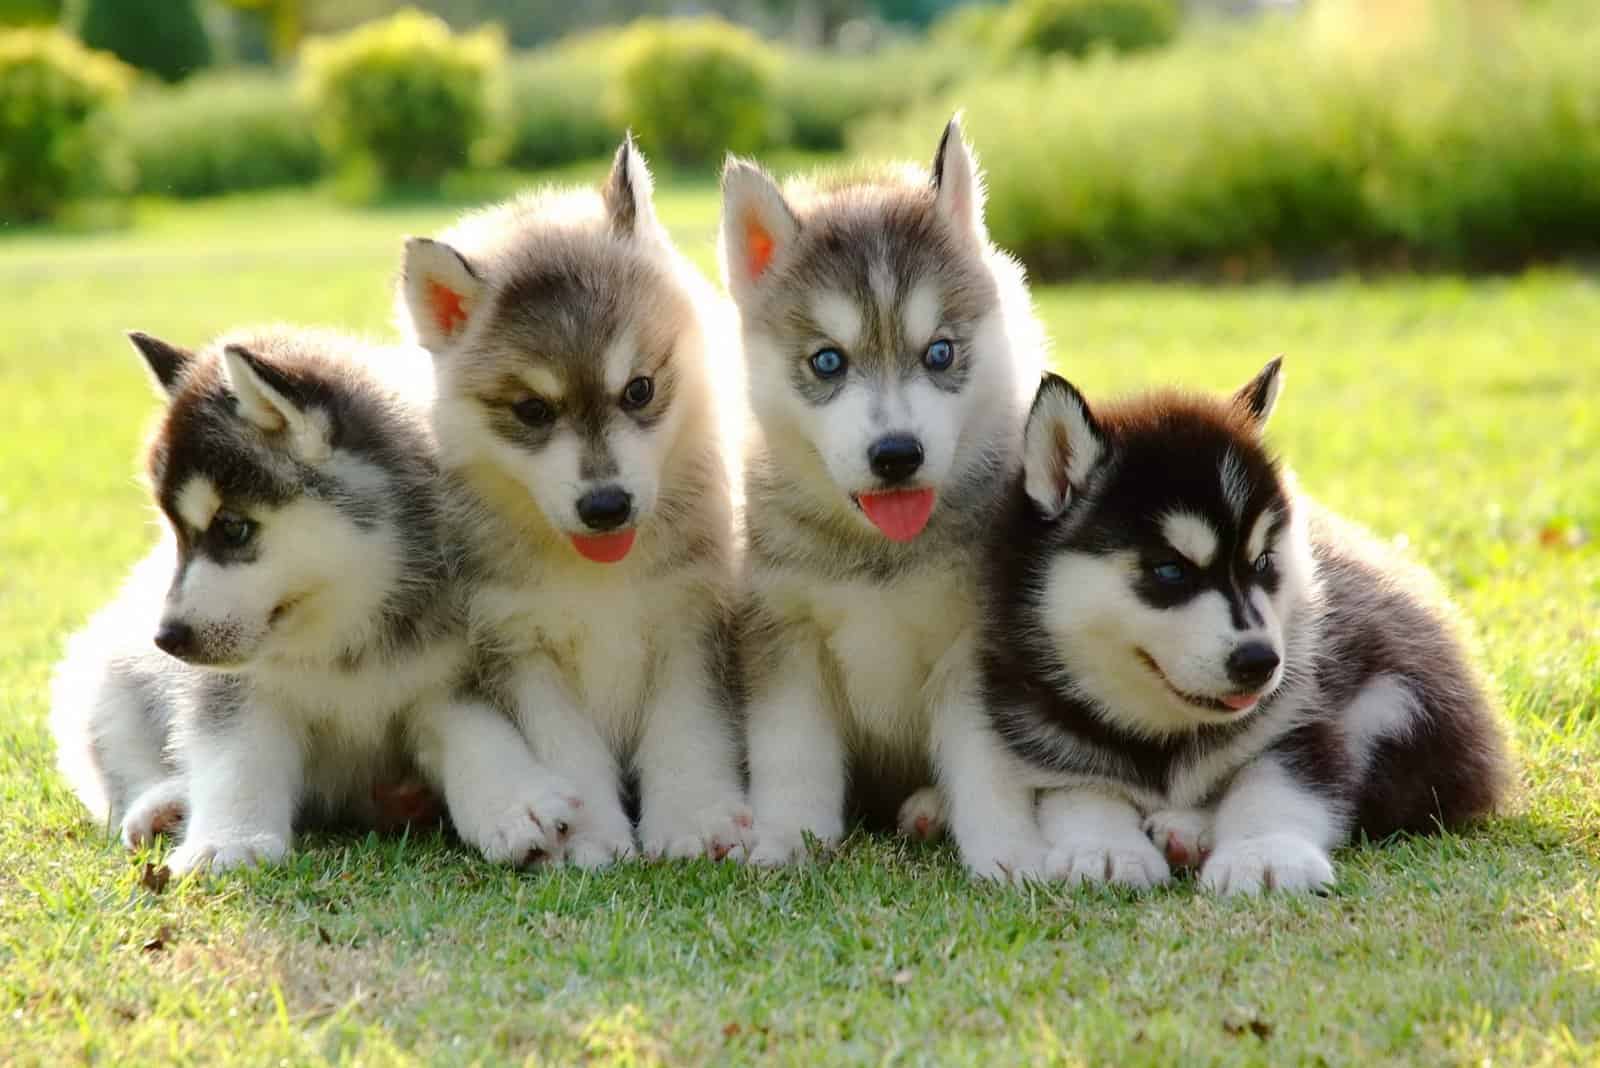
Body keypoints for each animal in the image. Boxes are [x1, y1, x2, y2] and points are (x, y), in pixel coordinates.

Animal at [53, 327, 585, 876]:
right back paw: (163, 805)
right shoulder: (235, 688)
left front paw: (514, 803)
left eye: (233, 527)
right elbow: (236, 755)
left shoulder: (454, 672)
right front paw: (229, 841)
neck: (344, 631)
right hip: (105, 671)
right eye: (176, 534)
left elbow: (477, 732)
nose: (167, 638)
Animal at [396, 135, 752, 869]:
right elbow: (569, 752)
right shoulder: (517, 648)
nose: (606, 506)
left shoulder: (690, 619)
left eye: (640, 389)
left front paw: (694, 816)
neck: (599, 579)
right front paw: (586, 837)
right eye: (533, 410)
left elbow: (688, 731)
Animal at [723, 119, 1049, 876]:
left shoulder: (976, 644)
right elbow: (792, 752)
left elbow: (989, 763)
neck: (878, 553)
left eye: (940, 352)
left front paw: (1007, 852)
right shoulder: (782, 633)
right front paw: (786, 839)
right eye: (827, 361)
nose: (897, 454)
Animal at [972, 358, 1510, 895]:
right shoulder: (1048, 743)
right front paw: (1105, 849)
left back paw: (1186, 829)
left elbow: (1277, 785)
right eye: (1170, 570)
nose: (1260, 662)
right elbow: (1083, 794)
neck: (1162, 741)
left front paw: (1263, 855)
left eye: (1264, 562)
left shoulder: (1306, 716)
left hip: (1406, 701)